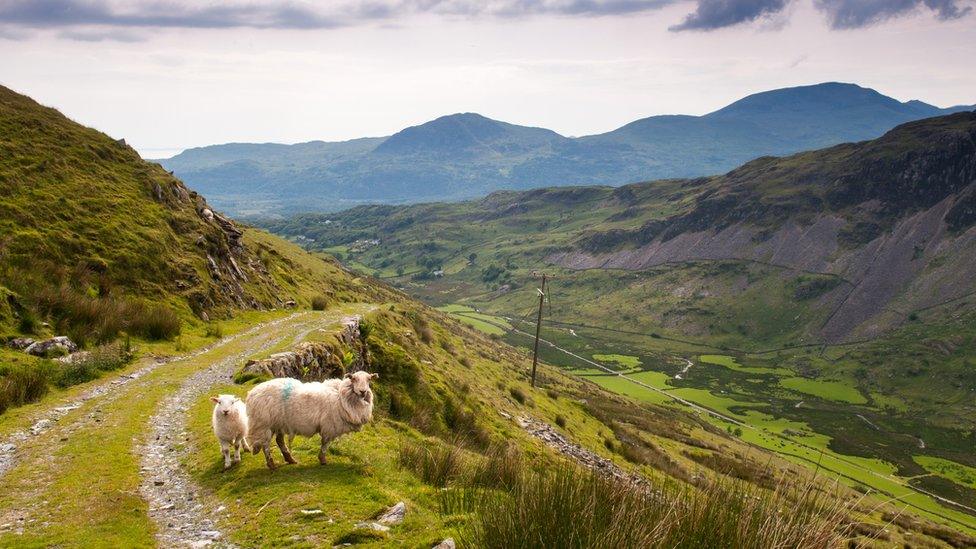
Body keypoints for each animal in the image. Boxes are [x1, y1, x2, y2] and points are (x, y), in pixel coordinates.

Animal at [248, 370, 378, 468]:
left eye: (369, 379)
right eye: (354, 379)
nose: (363, 391)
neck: (341, 397)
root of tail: (252, 393)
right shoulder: (329, 427)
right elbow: (325, 444)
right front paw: (322, 460)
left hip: (279, 424)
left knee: (279, 441)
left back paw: (290, 459)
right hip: (264, 424)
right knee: (265, 445)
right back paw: (271, 464)